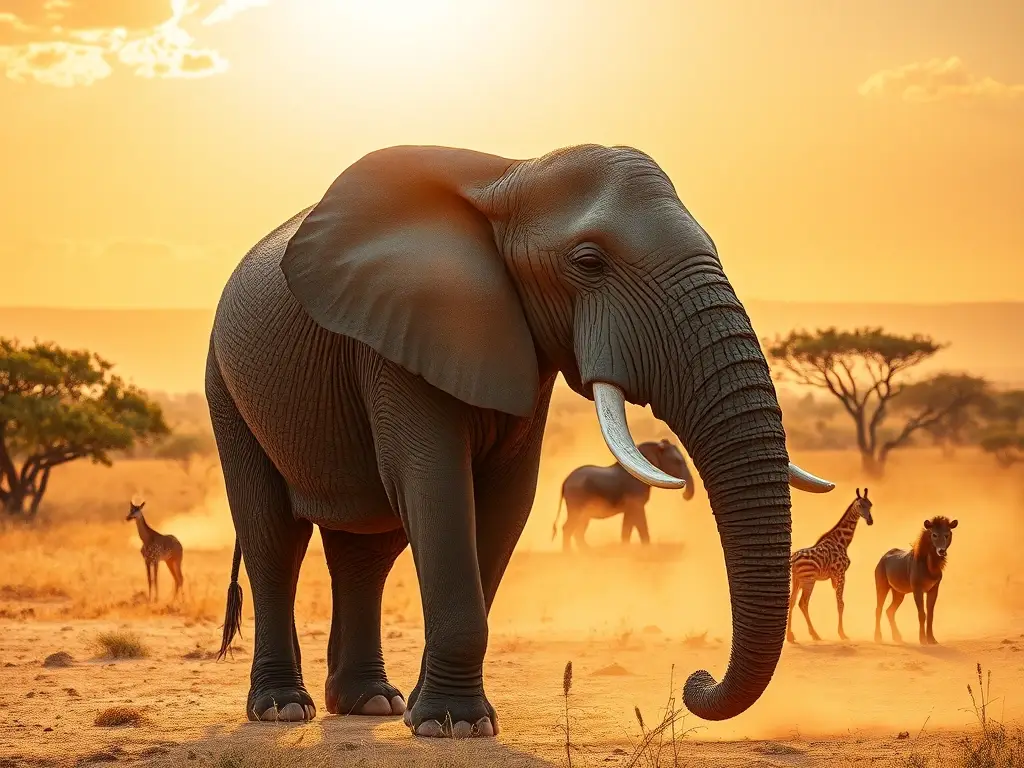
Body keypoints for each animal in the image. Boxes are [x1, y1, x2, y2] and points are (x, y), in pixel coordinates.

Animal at [551, 438, 694, 551]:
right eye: (677, 461)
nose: (685, 496)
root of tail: (565, 482)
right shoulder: (635, 497)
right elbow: (639, 520)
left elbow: (628, 524)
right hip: (577, 498)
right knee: (570, 526)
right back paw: (570, 554)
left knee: (580, 526)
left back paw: (588, 552)